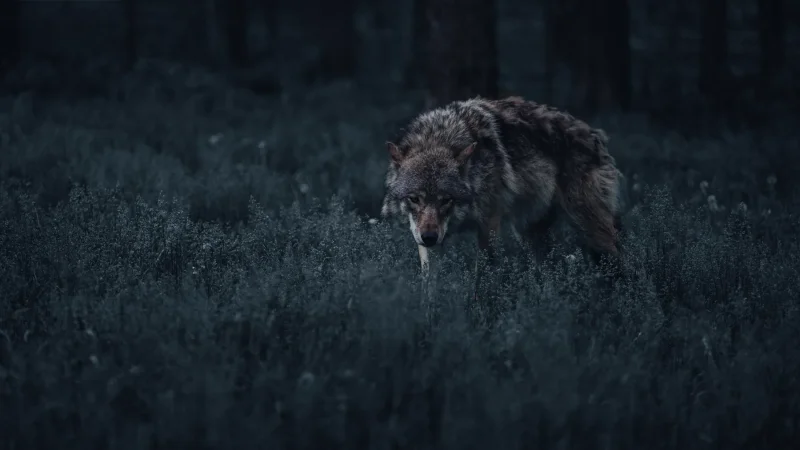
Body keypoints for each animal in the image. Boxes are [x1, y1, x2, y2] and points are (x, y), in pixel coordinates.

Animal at [380, 96, 623, 276]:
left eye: (446, 200)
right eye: (414, 199)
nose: (429, 237)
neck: (440, 138)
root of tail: (596, 135)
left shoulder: (489, 224)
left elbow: (482, 280)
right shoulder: (425, 239)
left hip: (591, 230)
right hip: (530, 234)